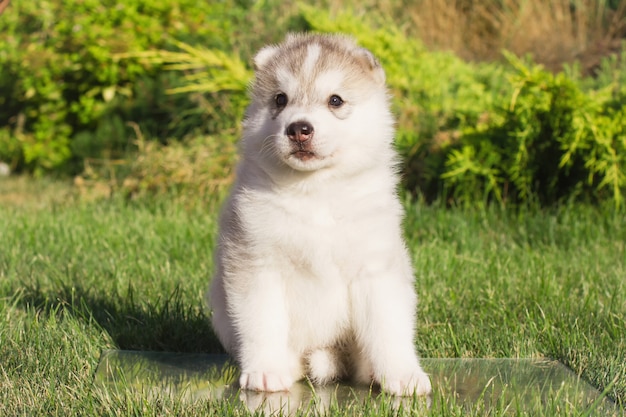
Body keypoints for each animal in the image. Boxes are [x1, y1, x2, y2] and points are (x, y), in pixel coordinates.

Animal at [208, 32, 428, 396]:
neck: (316, 192)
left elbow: (388, 326)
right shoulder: (256, 261)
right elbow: (262, 321)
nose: (299, 128)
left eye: (335, 100)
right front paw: (265, 371)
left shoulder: (376, 267)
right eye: (280, 99)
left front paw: (403, 374)